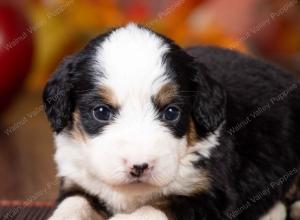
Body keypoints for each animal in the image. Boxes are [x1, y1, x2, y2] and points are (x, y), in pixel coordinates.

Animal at [42, 23, 300, 219]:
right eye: (102, 112)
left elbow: (153, 208)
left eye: (171, 112)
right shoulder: (78, 182)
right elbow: (73, 204)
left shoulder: (210, 196)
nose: (139, 167)